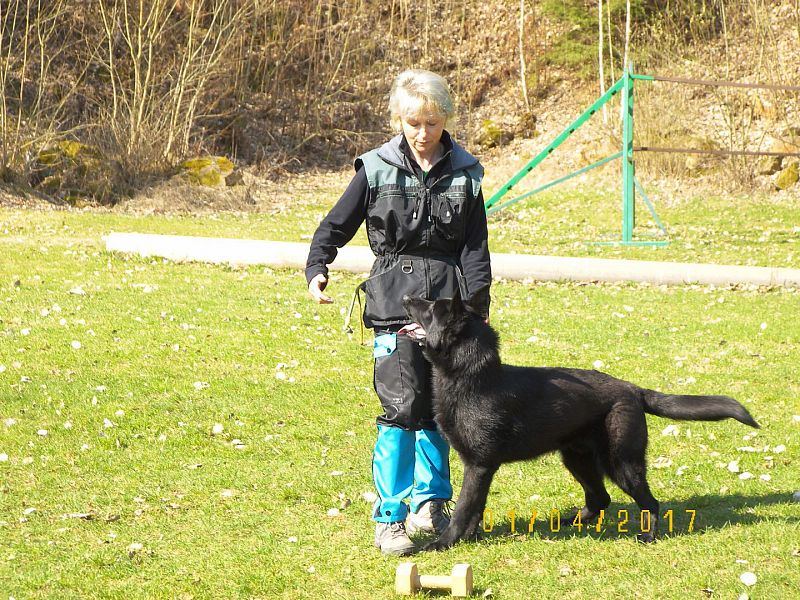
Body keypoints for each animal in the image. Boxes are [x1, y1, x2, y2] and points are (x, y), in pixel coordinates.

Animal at [404, 288, 760, 552]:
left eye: (431, 308)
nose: (406, 297)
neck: (473, 377)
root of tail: (633, 389)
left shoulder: (478, 466)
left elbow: (464, 508)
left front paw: (443, 543)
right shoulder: (483, 469)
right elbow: (475, 509)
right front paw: (470, 538)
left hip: (621, 465)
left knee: (649, 501)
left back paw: (649, 535)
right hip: (578, 460)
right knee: (600, 499)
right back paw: (570, 522)